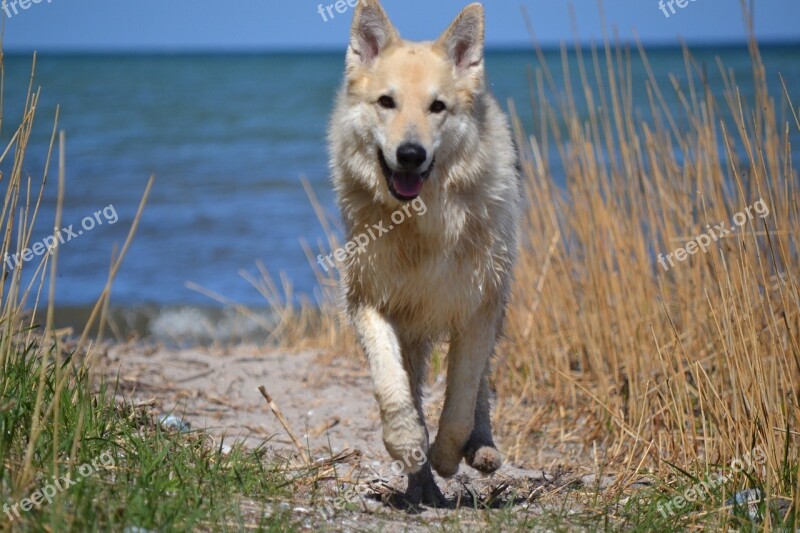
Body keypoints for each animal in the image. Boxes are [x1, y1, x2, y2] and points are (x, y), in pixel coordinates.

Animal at [326, 0, 520, 502]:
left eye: (437, 107)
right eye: (386, 102)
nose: (410, 154)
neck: (418, 222)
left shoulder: (478, 308)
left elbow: (461, 400)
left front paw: (449, 456)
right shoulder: (369, 302)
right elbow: (393, 388)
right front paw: (409, 446)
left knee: (479, 389)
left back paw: (481, 449)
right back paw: (422, 488)